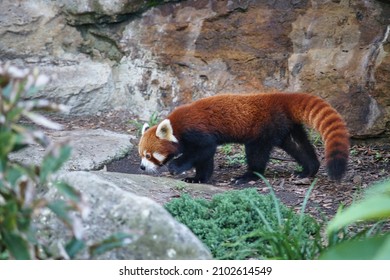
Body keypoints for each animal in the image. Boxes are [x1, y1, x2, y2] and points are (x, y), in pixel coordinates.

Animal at [138, 92, 350, 184]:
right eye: (141, 155)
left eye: (149, 155)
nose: (141, 167)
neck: (177, 127)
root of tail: (280, 97)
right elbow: (205, 160)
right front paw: (198, 178)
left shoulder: (197, 132)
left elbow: (203, 151)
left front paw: (176, 166)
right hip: (284, 126)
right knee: (297, 145)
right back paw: (308, 170)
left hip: (262, 129)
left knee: (256, 153)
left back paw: (248, 176)